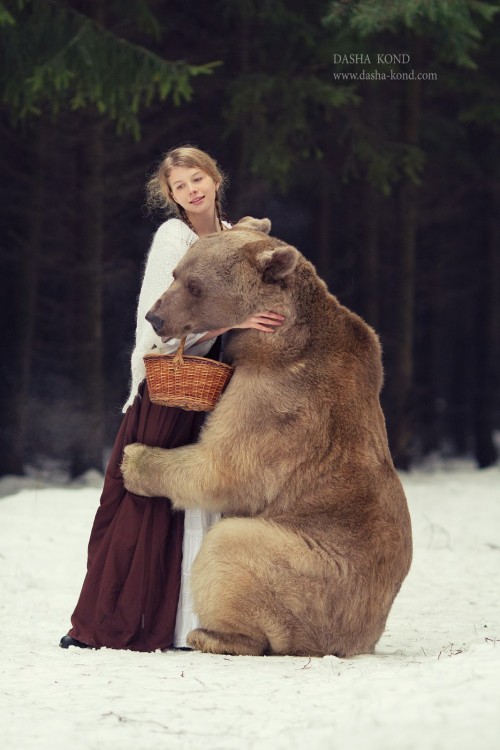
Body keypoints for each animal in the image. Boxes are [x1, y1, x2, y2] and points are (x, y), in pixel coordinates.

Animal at [120, 216, 410, 656]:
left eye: (195, 285)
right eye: (175, 273)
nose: (154, 317)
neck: (270, 339)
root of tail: (362, 639)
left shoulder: (280, 399)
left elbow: (223, 467)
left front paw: (132, 459)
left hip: (309, 569)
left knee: (230, 545)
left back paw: (212, 634)